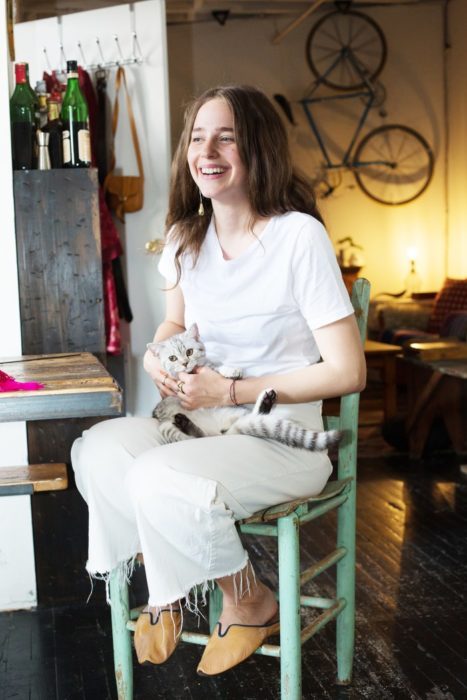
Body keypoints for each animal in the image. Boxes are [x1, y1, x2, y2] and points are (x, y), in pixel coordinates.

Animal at [146, 326, 340, 452]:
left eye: (189, 352)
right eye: (172, 358)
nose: (185, 363)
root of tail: (221, 430)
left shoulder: (207, 369)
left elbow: (215, 368)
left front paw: (231, 371)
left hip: (234, 414)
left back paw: (266, 401)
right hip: (166, 427)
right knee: (201, 436)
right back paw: (184, 422)